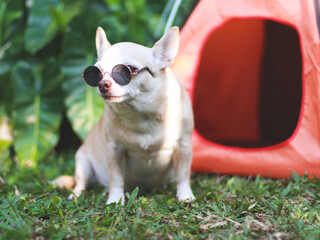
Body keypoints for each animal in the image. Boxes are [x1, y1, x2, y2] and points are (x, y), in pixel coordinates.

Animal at [52, 26, 194, 203]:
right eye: (96, 72)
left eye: (129, 69)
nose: (102, 84)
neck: (142, 114)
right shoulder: (114, 150)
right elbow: (116, 178)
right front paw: (115, 200)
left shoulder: (183, 146)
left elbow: (183, 175)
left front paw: (185, 195)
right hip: (83, 164)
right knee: (80, 183)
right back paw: (78, 194)